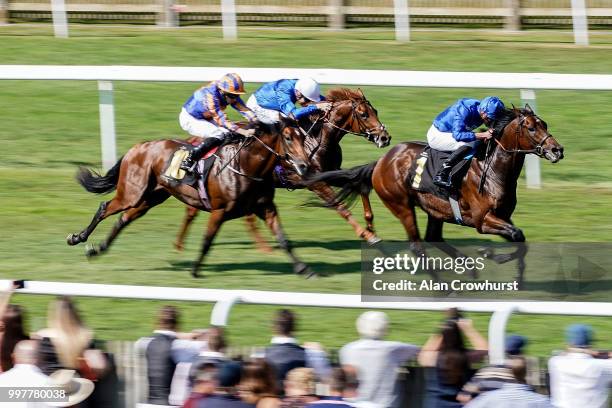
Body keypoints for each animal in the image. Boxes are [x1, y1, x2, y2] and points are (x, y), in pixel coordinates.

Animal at [67, 118, 314, 278]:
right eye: (288, 137)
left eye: (304, 137)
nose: (304, 165)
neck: (245, 165)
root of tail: (138, 147)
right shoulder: (219, 211)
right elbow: (207, 240)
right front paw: (195, 270)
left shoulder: (267, 208)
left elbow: (283, 239)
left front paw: (303, 269)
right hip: (132, 192)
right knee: (104, 207)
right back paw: (77, 238)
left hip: (151, 198)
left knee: (123, 219)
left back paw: (98, 248)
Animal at [172, 89, 392, 252]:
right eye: (364, 114)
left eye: (376, 111)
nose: (385, 137)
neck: (316, 139)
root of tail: (195, 140)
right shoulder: (314, 181)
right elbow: (340, 206)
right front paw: (368, 235)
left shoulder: (330, 173)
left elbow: (357, 185)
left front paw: (371, 226)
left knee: (198, 208)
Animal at [308, 105, 568, 284]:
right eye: (532, 128)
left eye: (545, 124)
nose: (557, 150)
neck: (492, 168)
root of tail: (381, 161)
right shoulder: (482, 220)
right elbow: (516, 234)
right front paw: (489, 253)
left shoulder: (503, 215)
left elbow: (520, 239)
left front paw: (517, 277)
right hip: (402, 205)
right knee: (417, 246)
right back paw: (443, 286)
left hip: (435, 209)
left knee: (433, 237)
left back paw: (468, 267)